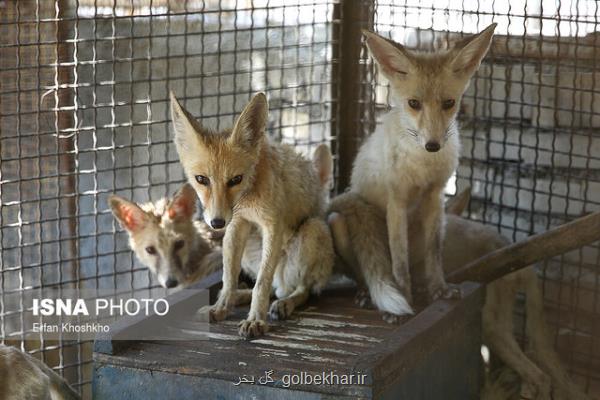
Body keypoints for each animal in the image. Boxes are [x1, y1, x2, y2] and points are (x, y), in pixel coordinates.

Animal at [328, 24, 496, 316]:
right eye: (414, 104)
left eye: (449, 103)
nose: (432, 145)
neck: (422, 168)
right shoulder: (397, 202)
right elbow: (398, 261)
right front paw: (403, 296)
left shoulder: (435, 196)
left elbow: (434, 254)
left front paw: (438, 289)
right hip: (338, 222)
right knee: (365, 274)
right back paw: (368, 294)